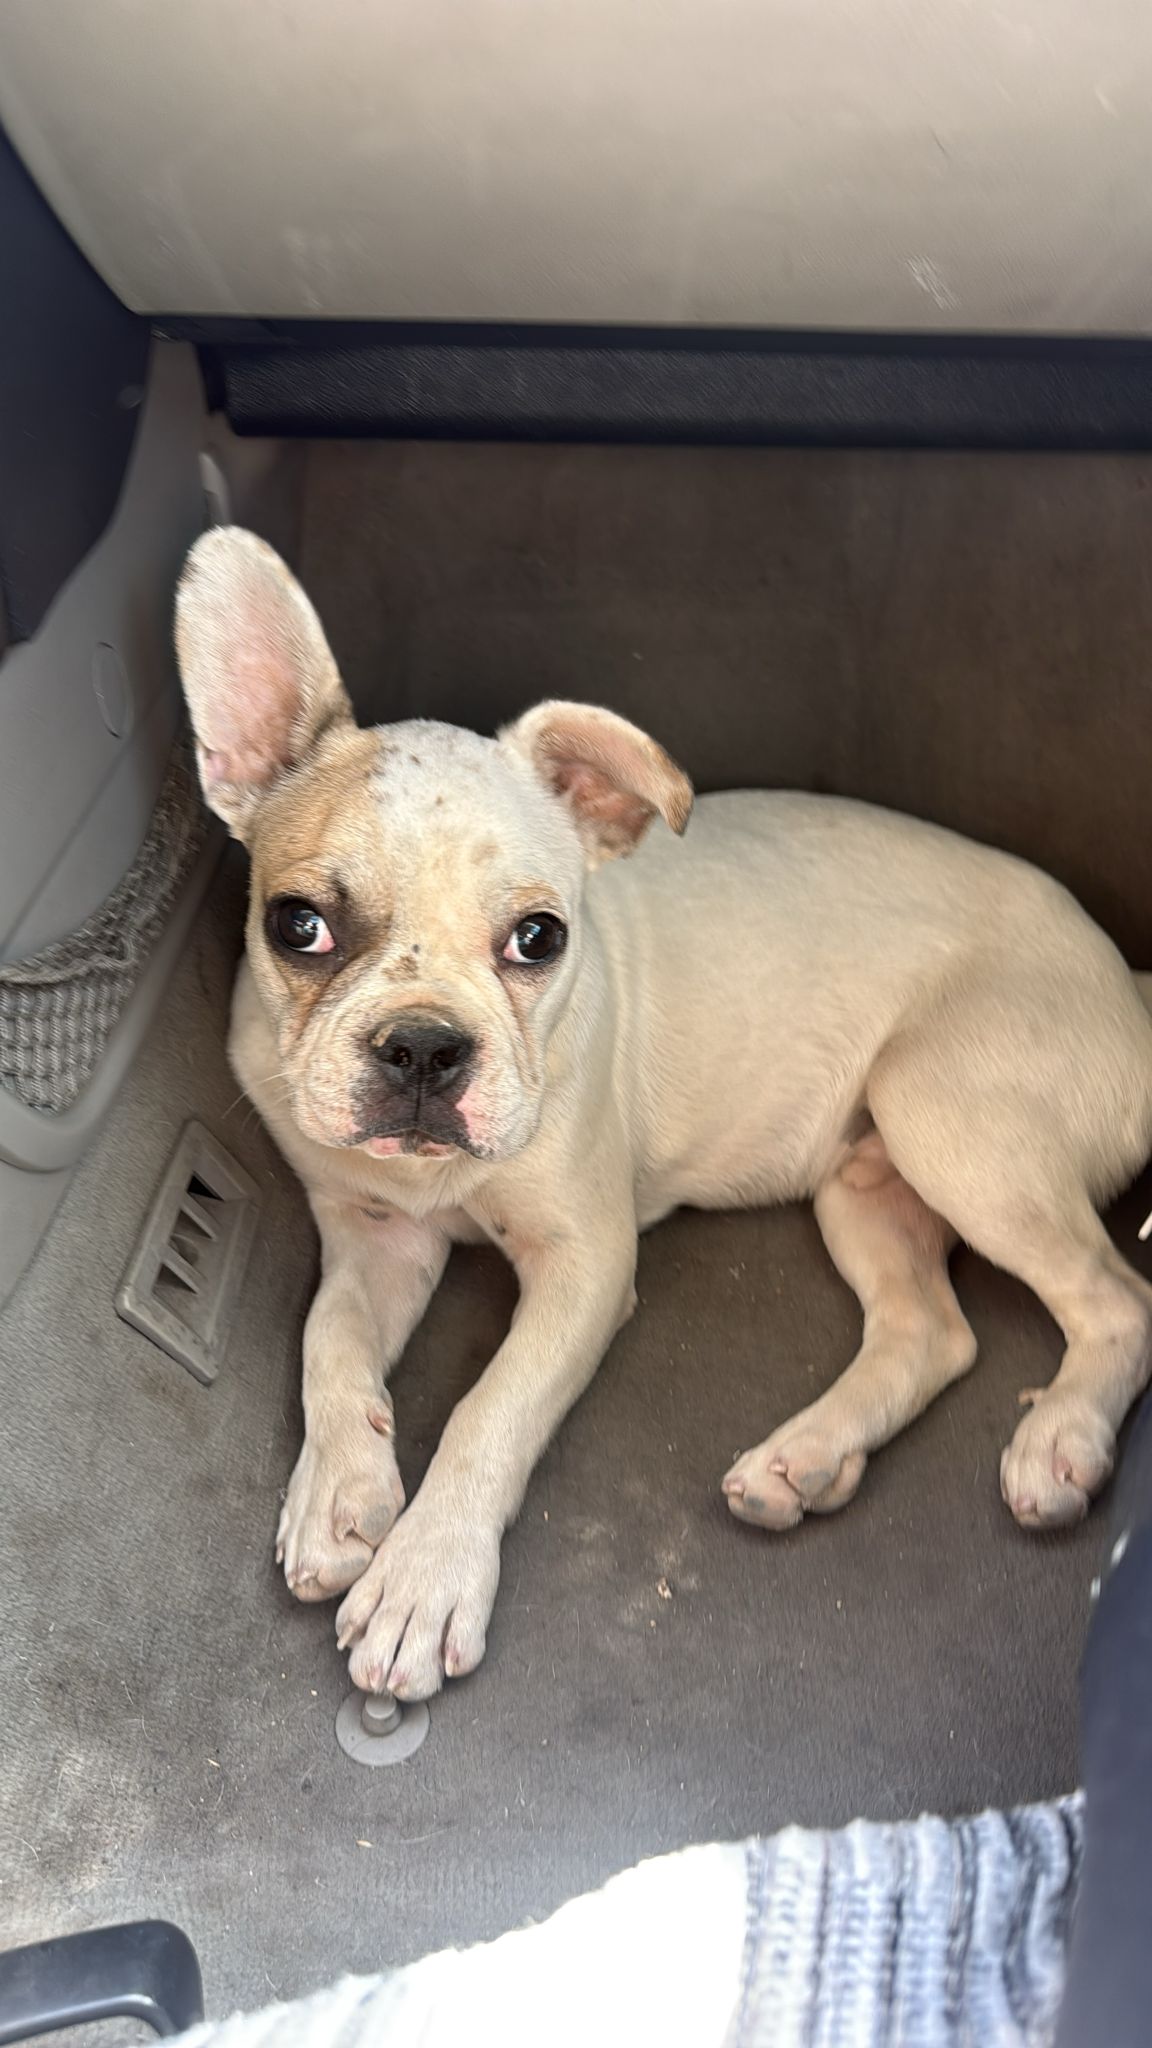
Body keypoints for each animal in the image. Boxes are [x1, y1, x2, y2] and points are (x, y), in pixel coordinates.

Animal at [176, 526, 1152, 1703]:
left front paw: (425, 1578)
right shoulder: (378, 1237)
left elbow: (489, 1409)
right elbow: (331, 1338)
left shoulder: (585, 1266)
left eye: (539, 938)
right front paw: (337, 1491)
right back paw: (805, 1457)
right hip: (868, 1177)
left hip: (950, 1114)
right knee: (934, 1329)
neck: (430, 1177)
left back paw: (1059, 1436)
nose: (423, 1046)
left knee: (1116, 1300)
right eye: (297, 925)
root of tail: (1131, 983)